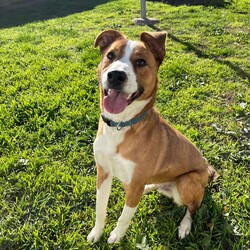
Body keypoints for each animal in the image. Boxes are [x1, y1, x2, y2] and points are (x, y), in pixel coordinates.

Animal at [87, 29, 218, 244]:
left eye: (141, 62)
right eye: (110, 55)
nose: (116, 76)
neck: (120, 126)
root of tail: (207, 171)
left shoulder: (134, 185)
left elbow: (124, 216)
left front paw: (116, 236)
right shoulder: (103, 172)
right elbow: (100, 208)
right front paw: (97, 232)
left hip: (187, 181)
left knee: (194, 206)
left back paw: (185, 226)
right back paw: (150, 187)